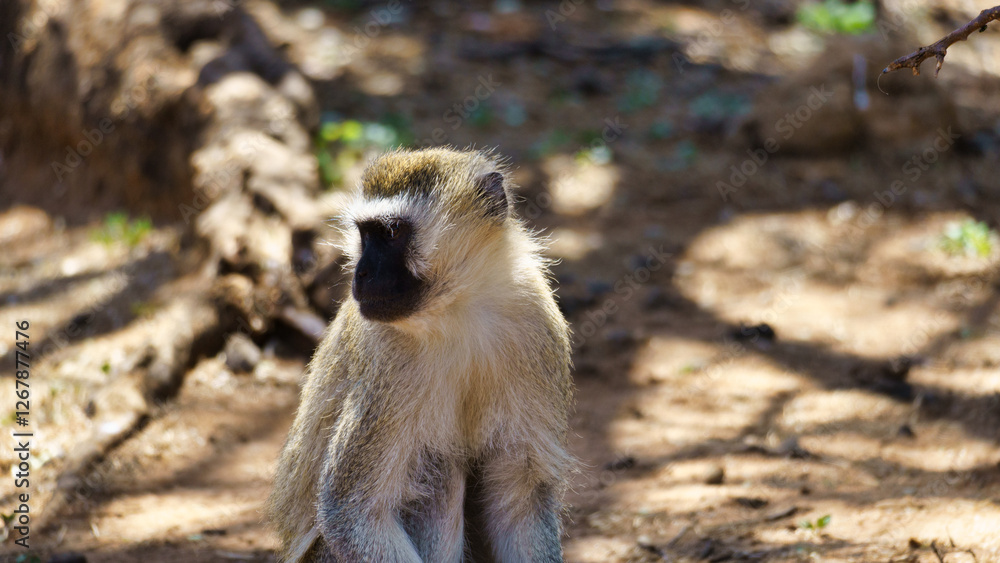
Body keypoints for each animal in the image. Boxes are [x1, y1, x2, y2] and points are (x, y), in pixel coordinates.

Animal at [266, 147, 574, 563]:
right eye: (365, 235)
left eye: (393, 232)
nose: (360, 274)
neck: (457, 310)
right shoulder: (386, 361)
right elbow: (354, 511)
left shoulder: (537, 324)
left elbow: (521, 495)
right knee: (439, 472)